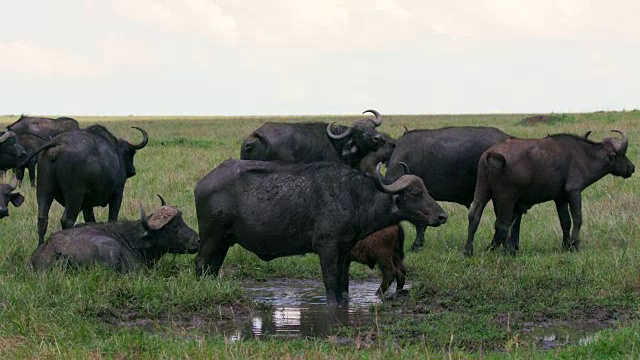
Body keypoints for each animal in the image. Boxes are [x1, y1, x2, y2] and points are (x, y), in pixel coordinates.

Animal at [192, 160, 448, 304]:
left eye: (426, 190)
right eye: (415, 193)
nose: (442, 216)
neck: (354, 196)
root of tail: (201, 184)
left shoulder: (344, 252)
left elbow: (343, 282)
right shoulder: (327, 248)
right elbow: (330, 281)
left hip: (223, 242)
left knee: (212, 268)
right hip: (211, 238)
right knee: (200, 264)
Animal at [464, 130, 636, 256]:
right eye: (620, 155)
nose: (632, 168)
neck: (584, 155)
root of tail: (490, 153)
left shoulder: (560, 199)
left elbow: (565, 221)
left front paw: (565, 245)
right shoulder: (574, 192)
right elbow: (577, 219)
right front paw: (575, 245)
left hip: (483, 190)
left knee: (474, 216)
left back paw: (469, 250)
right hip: (506, 198)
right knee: (502, 223)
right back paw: (504, 251)